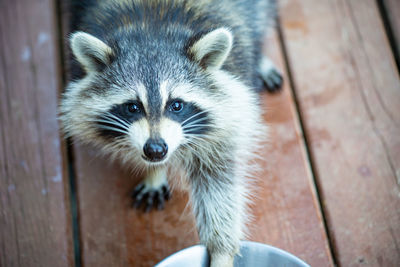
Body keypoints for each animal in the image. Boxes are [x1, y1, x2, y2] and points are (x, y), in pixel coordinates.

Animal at [61, 1, 282, 266]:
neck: (153, 28)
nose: (155, 149)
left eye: (176, 105)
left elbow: (219, 185)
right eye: (133, 107)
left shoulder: (230, 111)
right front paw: (154, 171)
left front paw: (221, 250)